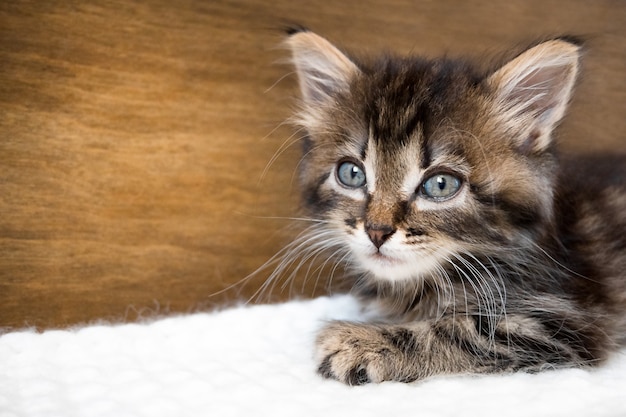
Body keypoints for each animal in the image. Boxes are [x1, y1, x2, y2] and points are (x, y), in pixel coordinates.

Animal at [282, 28, 624, 384]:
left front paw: (358, 340)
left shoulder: (564, 321)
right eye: (351, 174)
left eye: (441, 184)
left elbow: (457, 331)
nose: (376, 231)